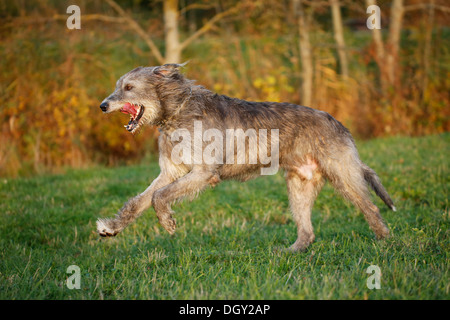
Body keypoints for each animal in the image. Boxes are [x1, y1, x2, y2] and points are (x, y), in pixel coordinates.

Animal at [96, 63, 396, 252]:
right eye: (119, 85)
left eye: (129, 87)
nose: (102, 106)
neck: (177, 112)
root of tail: (340, 125)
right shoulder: (171, 171)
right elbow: (140, 200)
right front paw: (112, 227)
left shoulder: (203, 173)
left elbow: (159, 196)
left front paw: (167, 222)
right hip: (299, 184)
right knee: (308, 232)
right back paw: (289, 251)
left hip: (344, 175)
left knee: (372, 209)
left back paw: (385, 242)